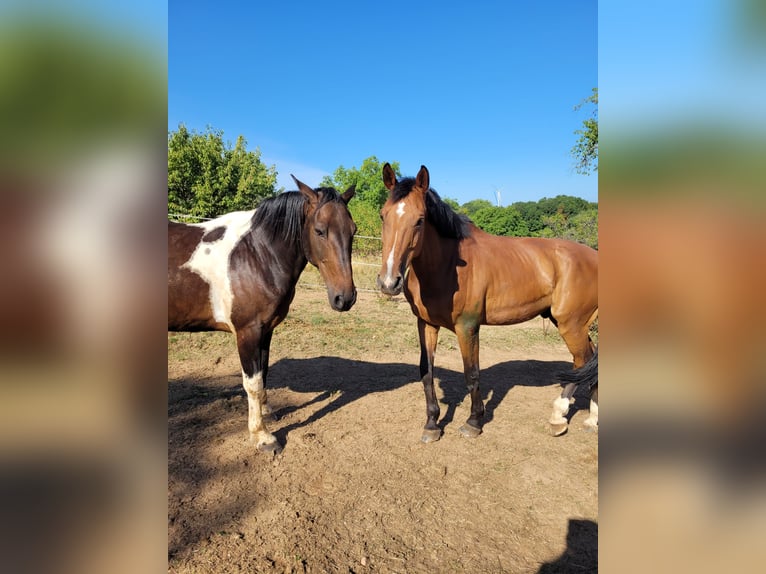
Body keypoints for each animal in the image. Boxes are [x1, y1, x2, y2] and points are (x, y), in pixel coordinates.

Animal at [168, 177, 357, 453]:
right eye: (320, 230)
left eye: (353, 230)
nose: (345, 298)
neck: (256, 254)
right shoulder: (248, 332)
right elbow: (254, 383)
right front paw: (262, 436)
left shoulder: (266, 330)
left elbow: (264, 373)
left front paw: (266, 413)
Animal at [377, 164, 598, 440]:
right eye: (383, 216)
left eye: (420, 220)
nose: (388, 282)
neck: (448, 265)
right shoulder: (426, 324)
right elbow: (426, 372)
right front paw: (432, 424)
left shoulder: (468, 327)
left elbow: (471, 374)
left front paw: (473, 422)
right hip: (568, 323)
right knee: (587, 361)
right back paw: (577, 418)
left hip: (572, 324)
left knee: (584, 361)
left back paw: (569, 417)